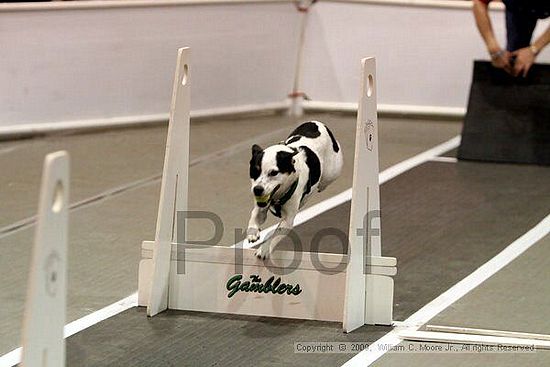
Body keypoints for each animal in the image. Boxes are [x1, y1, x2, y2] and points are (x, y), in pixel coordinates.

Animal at [248, 121, 342, 258]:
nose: (257, 189)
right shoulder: (262, 205)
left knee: (326, 180)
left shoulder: (288, 219)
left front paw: (264, 249)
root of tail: (316, 122)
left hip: (332, 172)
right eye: (254, 171)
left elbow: (276, 233)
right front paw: (252, 232)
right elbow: (255, 214)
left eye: (273, 173)